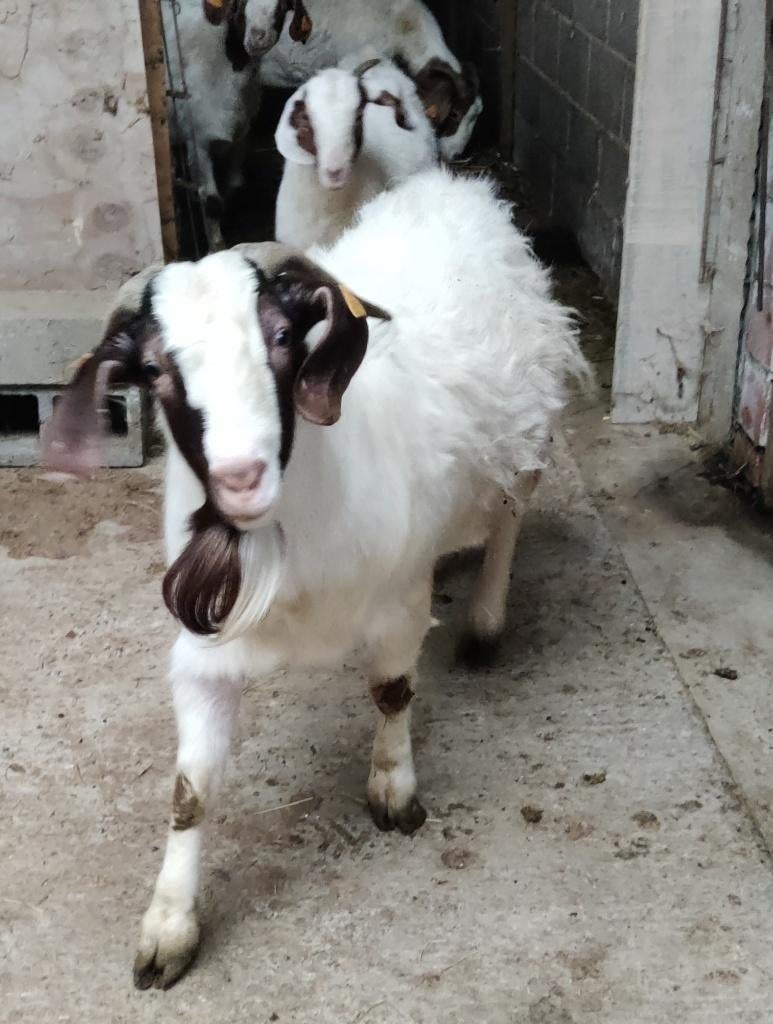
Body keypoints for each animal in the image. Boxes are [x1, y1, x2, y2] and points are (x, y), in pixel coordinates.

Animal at [43, 167, 590, 989]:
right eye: (156, 369)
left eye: (280, 338)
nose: (240, 476)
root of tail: (453, 186)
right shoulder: (202, 656)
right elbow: (188, 793)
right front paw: (168, 929)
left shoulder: (397, 606)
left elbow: (392, 692)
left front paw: (393, 791)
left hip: (523, 427)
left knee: (509, 514)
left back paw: (486, 619)